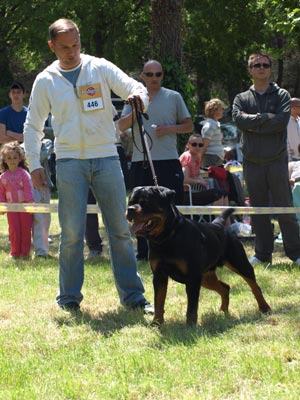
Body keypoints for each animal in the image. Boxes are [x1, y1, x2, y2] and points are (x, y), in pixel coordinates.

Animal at [126, 186, 272, 326]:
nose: (130, 209)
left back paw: (265, 308)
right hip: (206, 277)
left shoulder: (192, 277)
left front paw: (190, 326)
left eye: (146, 202)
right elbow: (159, 301)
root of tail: (217, 224)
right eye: (131, 202)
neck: (167, 238)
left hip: (239, 263)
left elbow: (192, 306)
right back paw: (223, 311)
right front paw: (156, 323)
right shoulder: (159, 276)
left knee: (255, 286)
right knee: (225, 287)